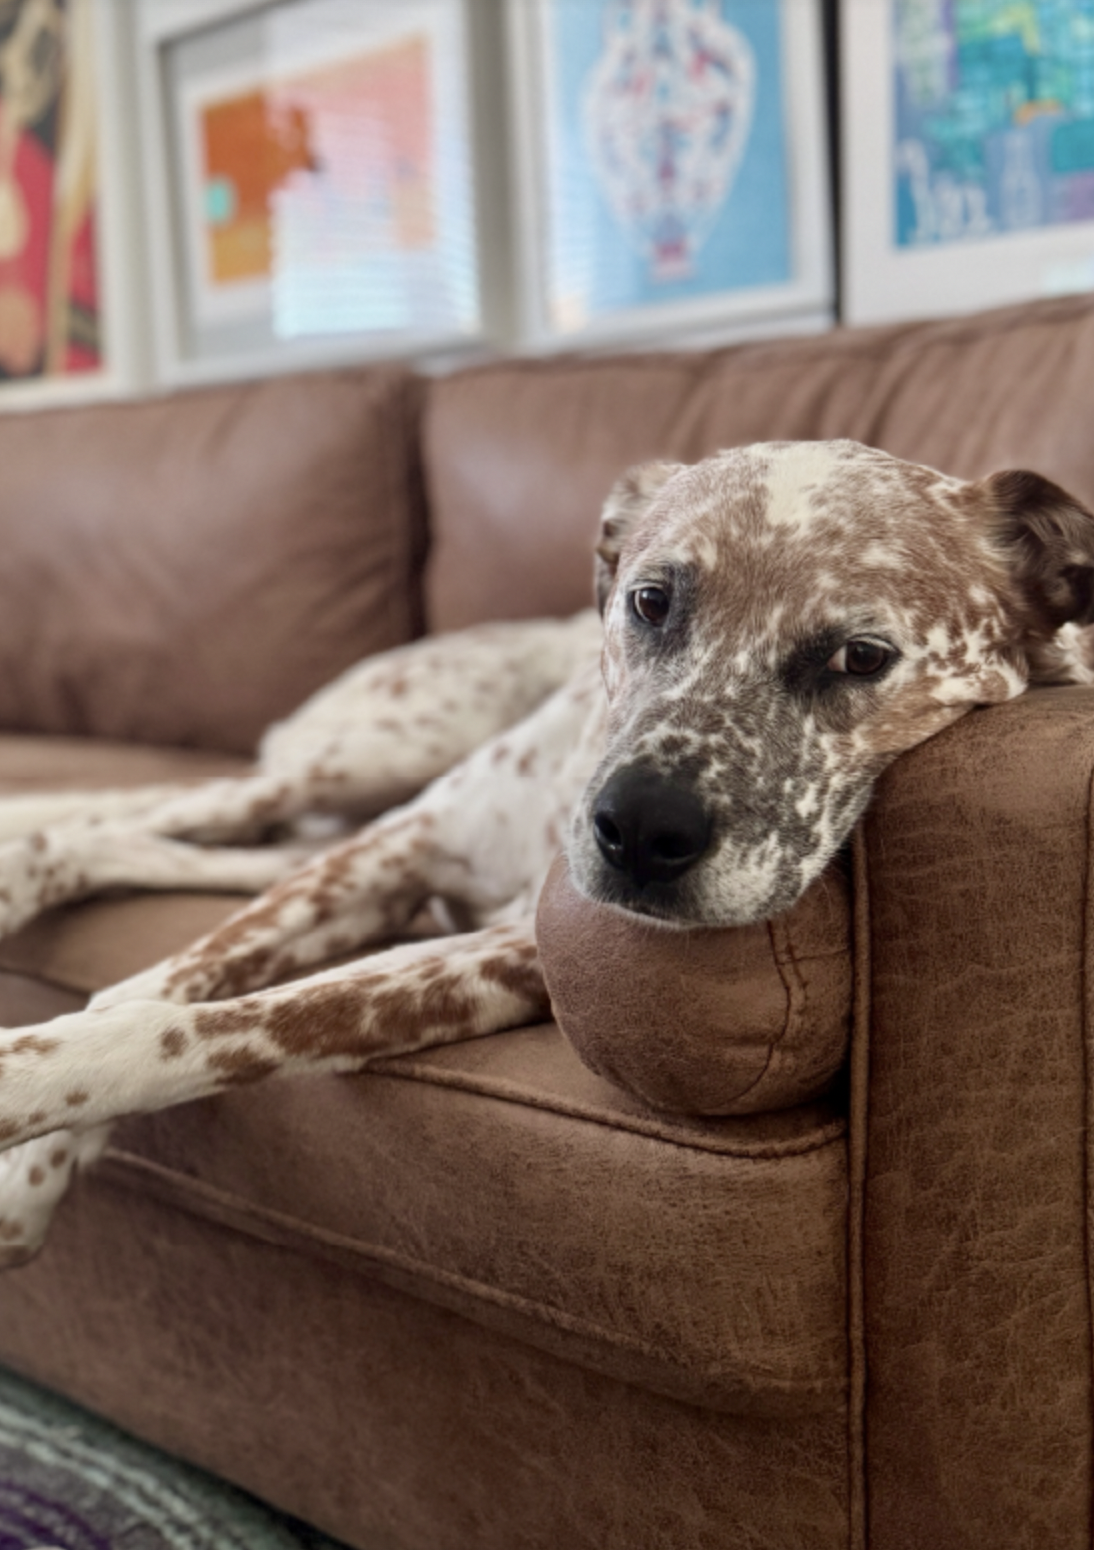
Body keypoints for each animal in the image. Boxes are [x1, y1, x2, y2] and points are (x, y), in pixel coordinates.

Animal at [0, 443, 1084, 1264]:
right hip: (369, 760)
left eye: (862, 656)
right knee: (175, 812)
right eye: (651, 601)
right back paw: (25, 864)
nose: (637, 828)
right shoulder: (397, 849)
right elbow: (154, 986)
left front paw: (31, 1107)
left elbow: (215, 1025)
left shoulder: (505, 951)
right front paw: (38, 1148)